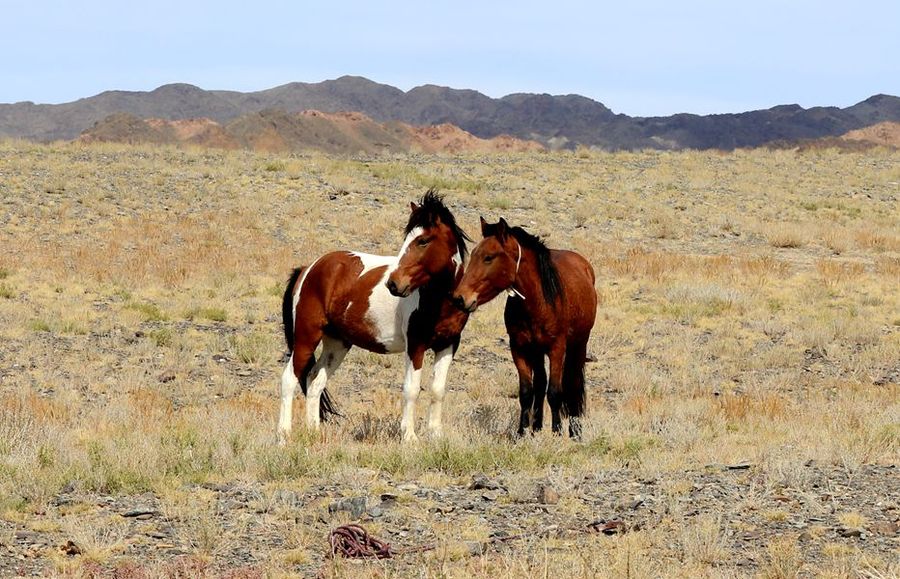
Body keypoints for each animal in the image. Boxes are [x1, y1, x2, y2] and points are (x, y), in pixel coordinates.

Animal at [280, 190, 472, 444]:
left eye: (423, 240)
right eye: (407, 239)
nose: (394, 284)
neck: (437, 300)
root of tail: (308, 269)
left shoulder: (448, 344)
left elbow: (438, 389)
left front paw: (436, 435)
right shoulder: (416, 345)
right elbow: (411, 389)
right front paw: (409, 437)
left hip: (337, 343)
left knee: (314, 381)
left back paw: (315, 433)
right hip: (306, 337)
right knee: (289, 379)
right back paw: (283, 437)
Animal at [450, 218, 596, 440]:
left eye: (488, 257)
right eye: (473, 254)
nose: (460, 298)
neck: (539, 301)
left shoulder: (557, 348)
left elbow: (555, 392)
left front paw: (556, 431)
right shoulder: (519, 348)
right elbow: (527, 391)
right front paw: (522, 432)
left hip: (578, 345)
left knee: (573, 384)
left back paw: (575, 432)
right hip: (536, 352)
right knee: (540, 384)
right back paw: (537, 427)